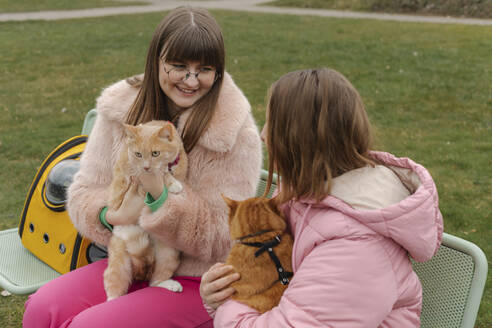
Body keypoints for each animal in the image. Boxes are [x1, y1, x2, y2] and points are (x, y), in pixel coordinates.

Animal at [104, 120, 188, 300]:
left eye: (155, 153)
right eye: (138, 154)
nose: (146, 167)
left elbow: (166, 172)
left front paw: (171, 180)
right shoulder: (132, 174)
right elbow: (161, 175)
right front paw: (171, 182)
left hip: (168, 254)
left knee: (154, 282)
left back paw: (167, 283)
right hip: (119, 263)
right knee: (113, 285)